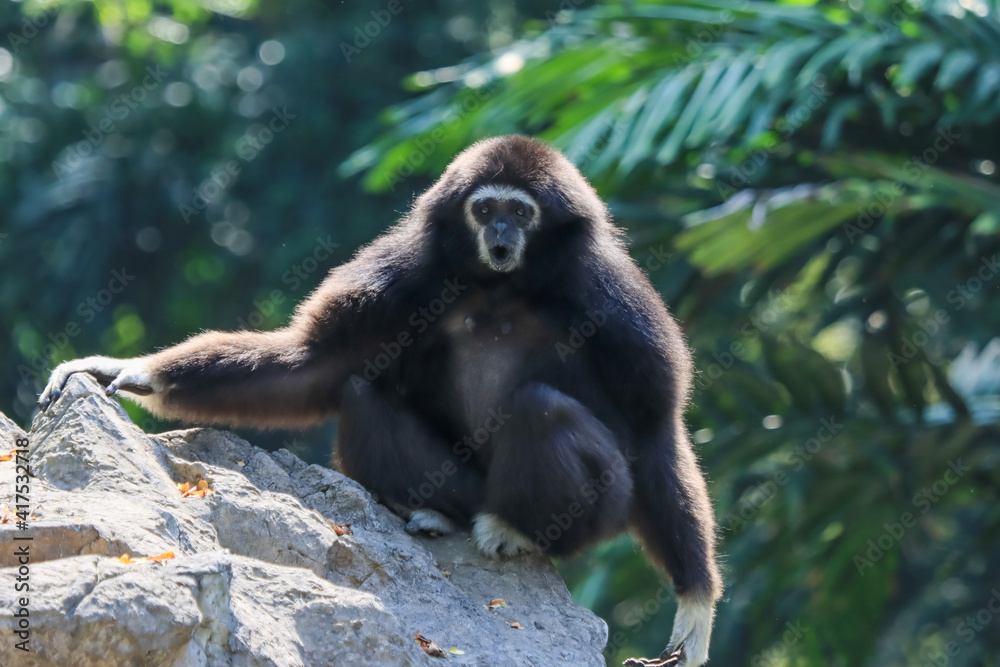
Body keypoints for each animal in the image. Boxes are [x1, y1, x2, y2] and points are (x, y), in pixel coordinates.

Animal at [39, 135, 723, 666]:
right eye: (485, 210)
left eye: (520, 213)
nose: (501, 233)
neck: (503, 285)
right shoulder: (408, 268)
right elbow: (315, 363)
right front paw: (127, 370)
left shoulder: (608, 290)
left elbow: (654, 424)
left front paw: (696, 605)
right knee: (362, 391)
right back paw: (437, 514)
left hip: (601, 504)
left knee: (543, 408)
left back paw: (516, 531)